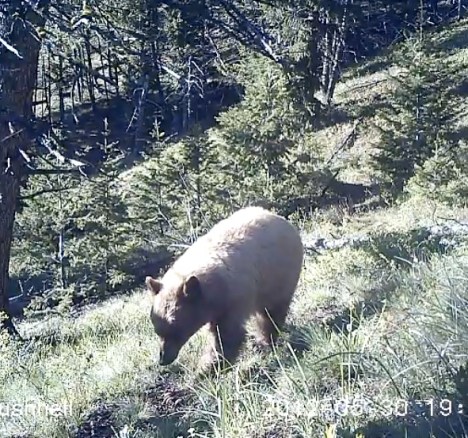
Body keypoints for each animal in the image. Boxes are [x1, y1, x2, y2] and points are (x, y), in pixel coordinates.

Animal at [145, 206, 304, 373]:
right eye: (157, 329)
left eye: (175, 330)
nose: (163, 359)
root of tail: (280, 218)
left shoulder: (234, 298)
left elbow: (228, 335)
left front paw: (209, 367)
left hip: (279, 277)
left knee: (271, 313)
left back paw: (264, 341)